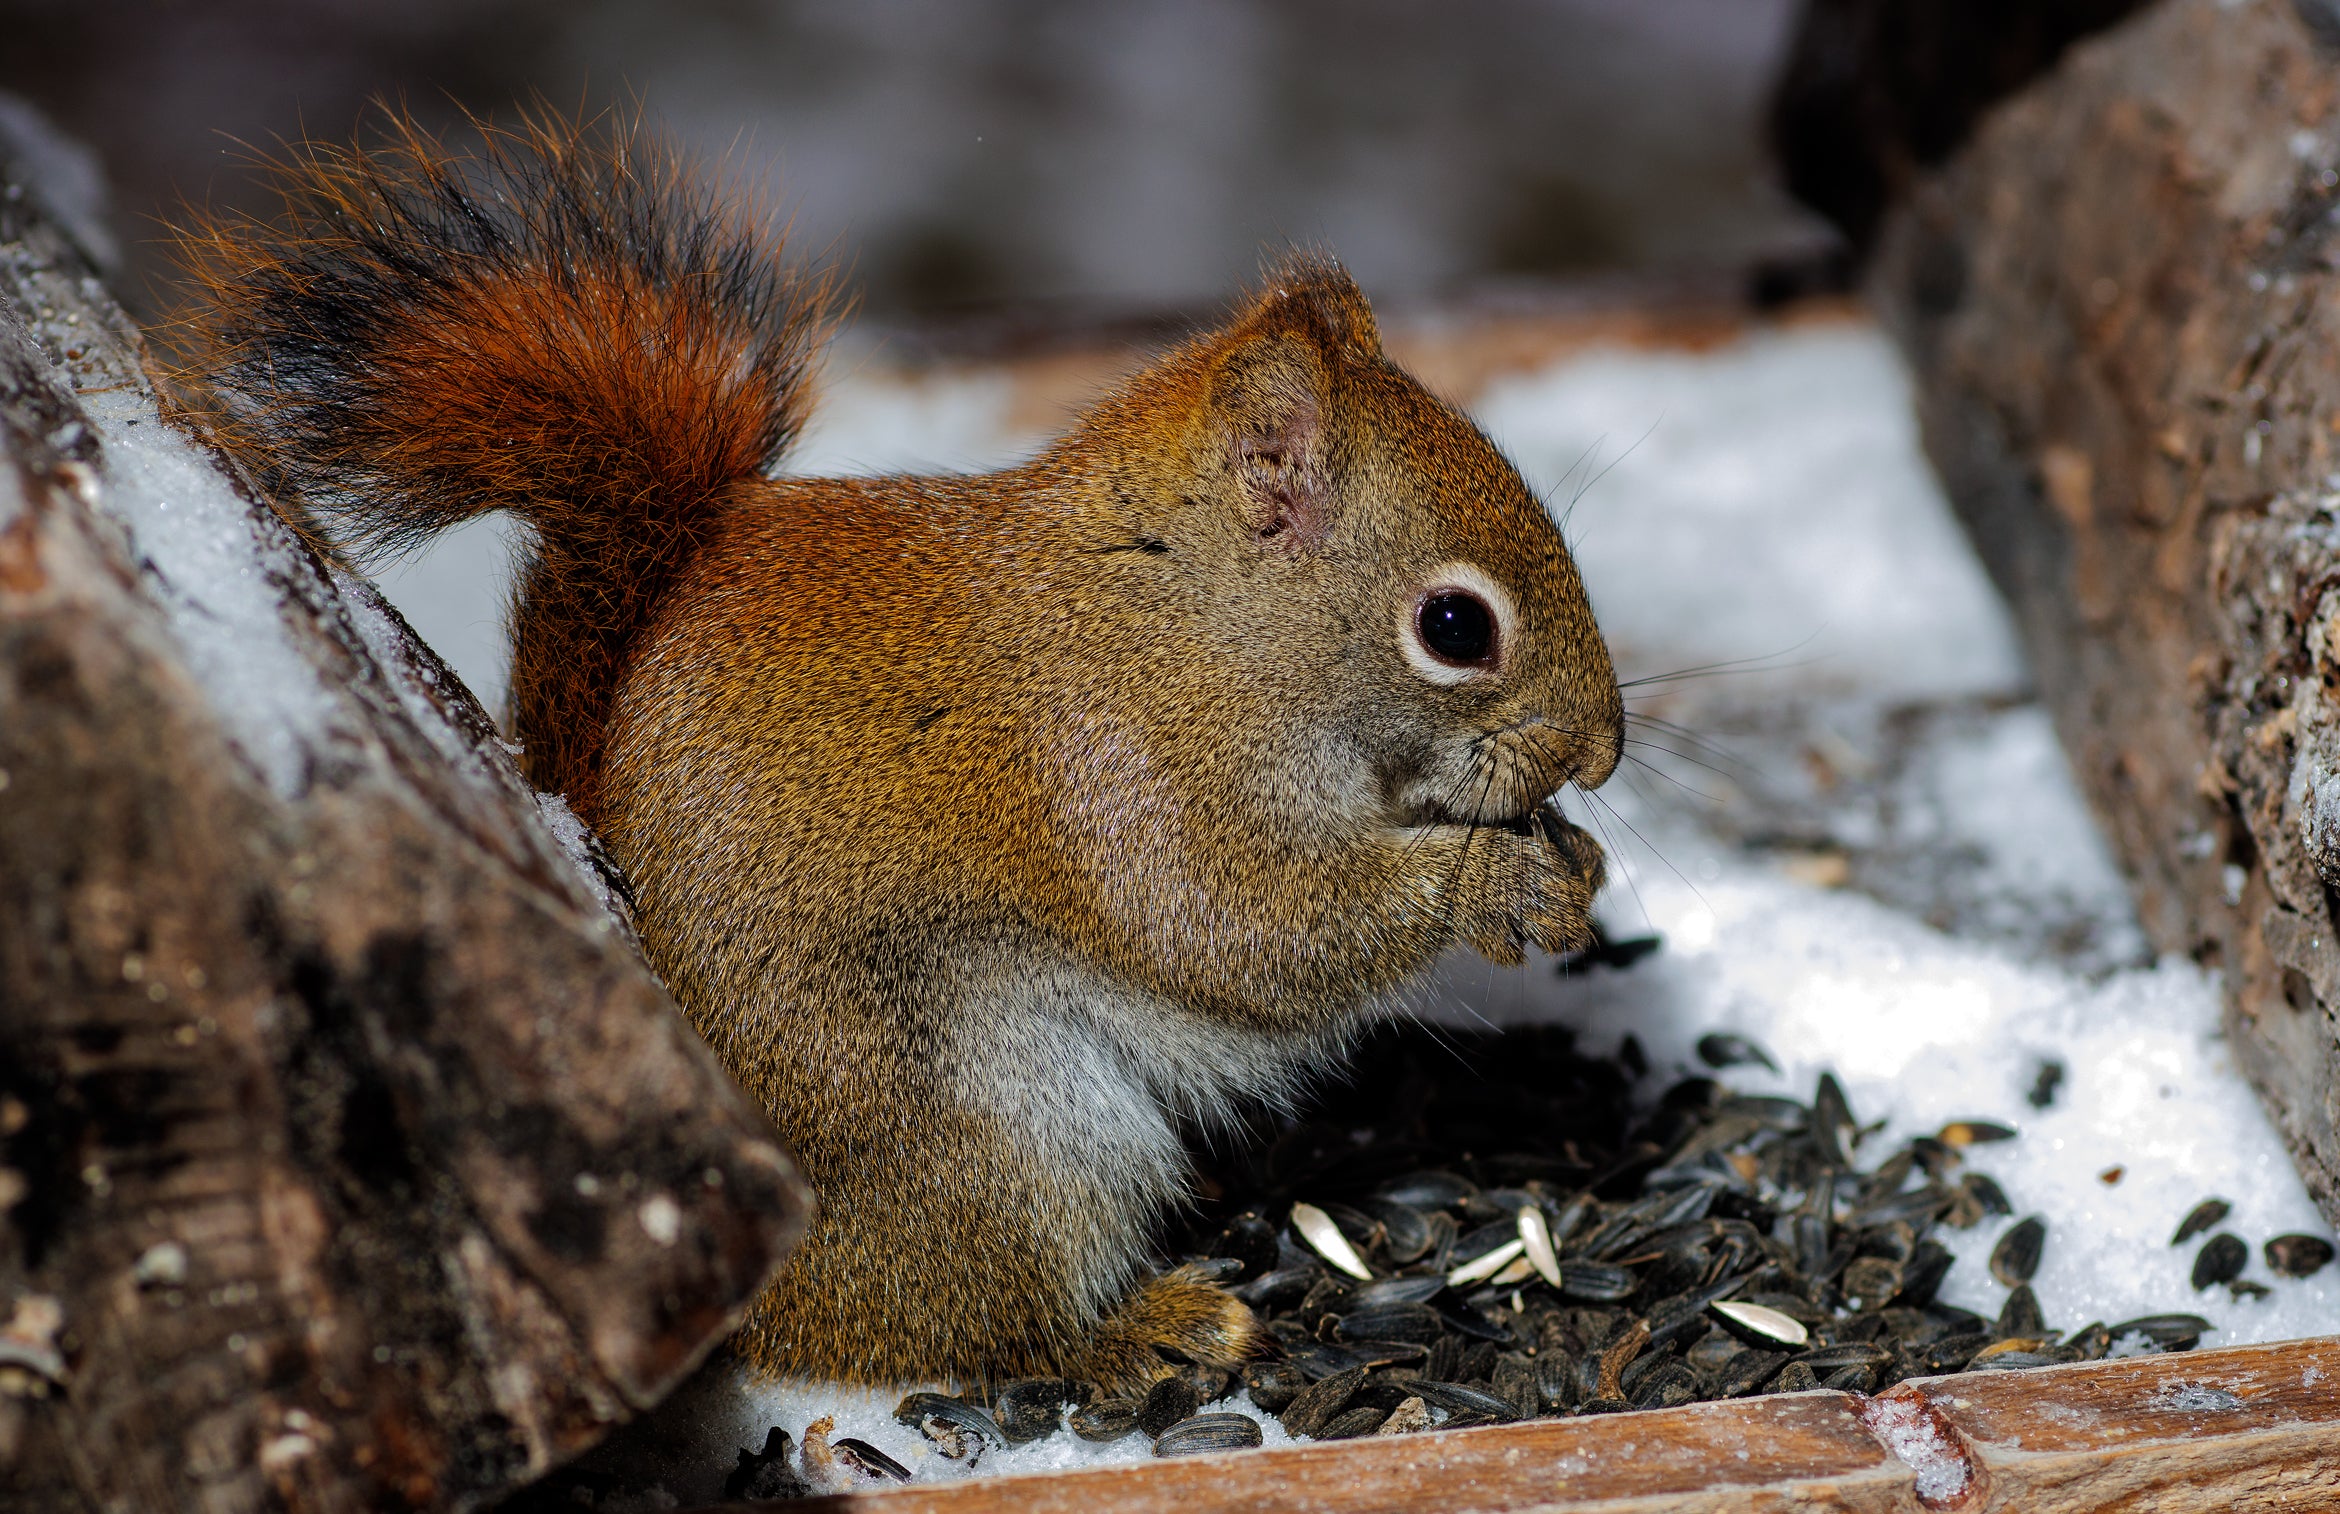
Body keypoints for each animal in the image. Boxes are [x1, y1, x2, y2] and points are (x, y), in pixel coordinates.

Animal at [165, 105, 1625, 1392]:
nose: (1605, 750)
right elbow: (1245, 929)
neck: (1179, 617)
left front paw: (1575, 866)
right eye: (1454, 625)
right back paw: (1134, 1332)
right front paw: (1494, 880)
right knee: (956, 1328)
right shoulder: (1111, 768)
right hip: (990, 1141)